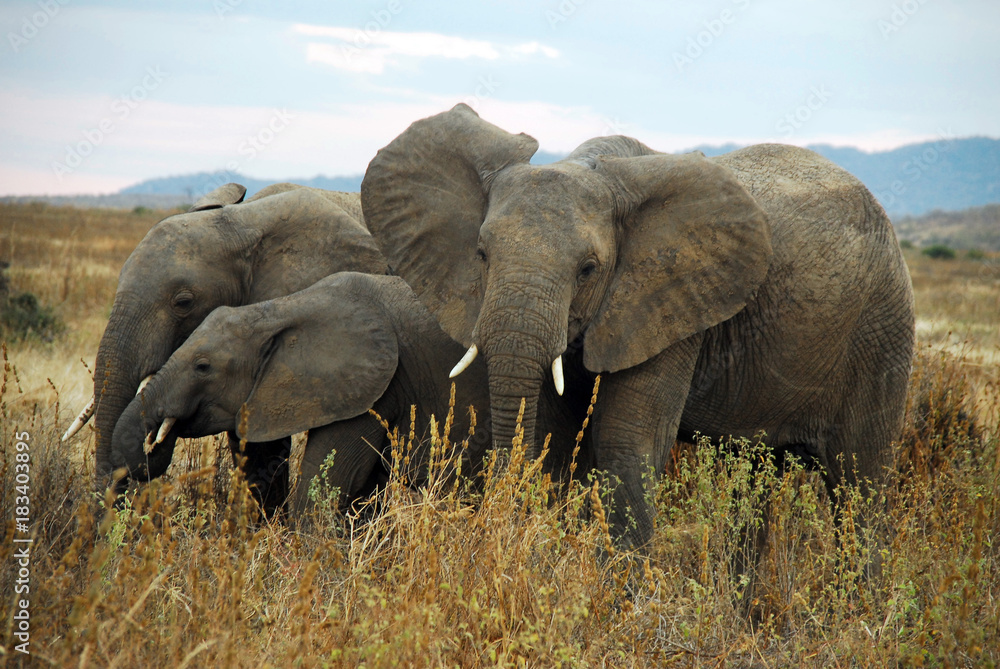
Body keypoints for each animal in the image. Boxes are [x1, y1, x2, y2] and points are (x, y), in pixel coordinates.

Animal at [361, 104, 916, 551]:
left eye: (588, 269)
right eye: (480, 254)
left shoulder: (673, 299)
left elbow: (628, 441)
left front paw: (618, 602)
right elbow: (562, 438)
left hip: (881, 329)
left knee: (860, 483)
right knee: (752, 477)